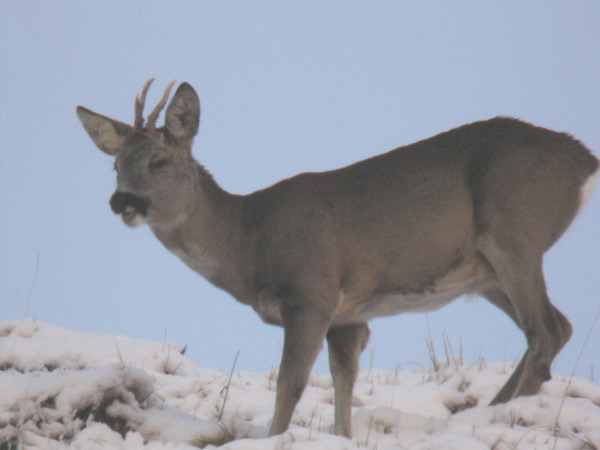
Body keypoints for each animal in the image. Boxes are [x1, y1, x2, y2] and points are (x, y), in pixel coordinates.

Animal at [77, 78, 596, 436]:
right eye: (115, 165)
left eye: (159, 161)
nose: (121, 201)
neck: (250, 239)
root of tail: (584, 160)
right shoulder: (349, 316)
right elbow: (343, 381)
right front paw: (342, 435)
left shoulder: (313, 293)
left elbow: (291, 384)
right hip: (487, 273)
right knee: (556, 326)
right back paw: (490, 410)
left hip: (514, 231)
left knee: (545, 330)